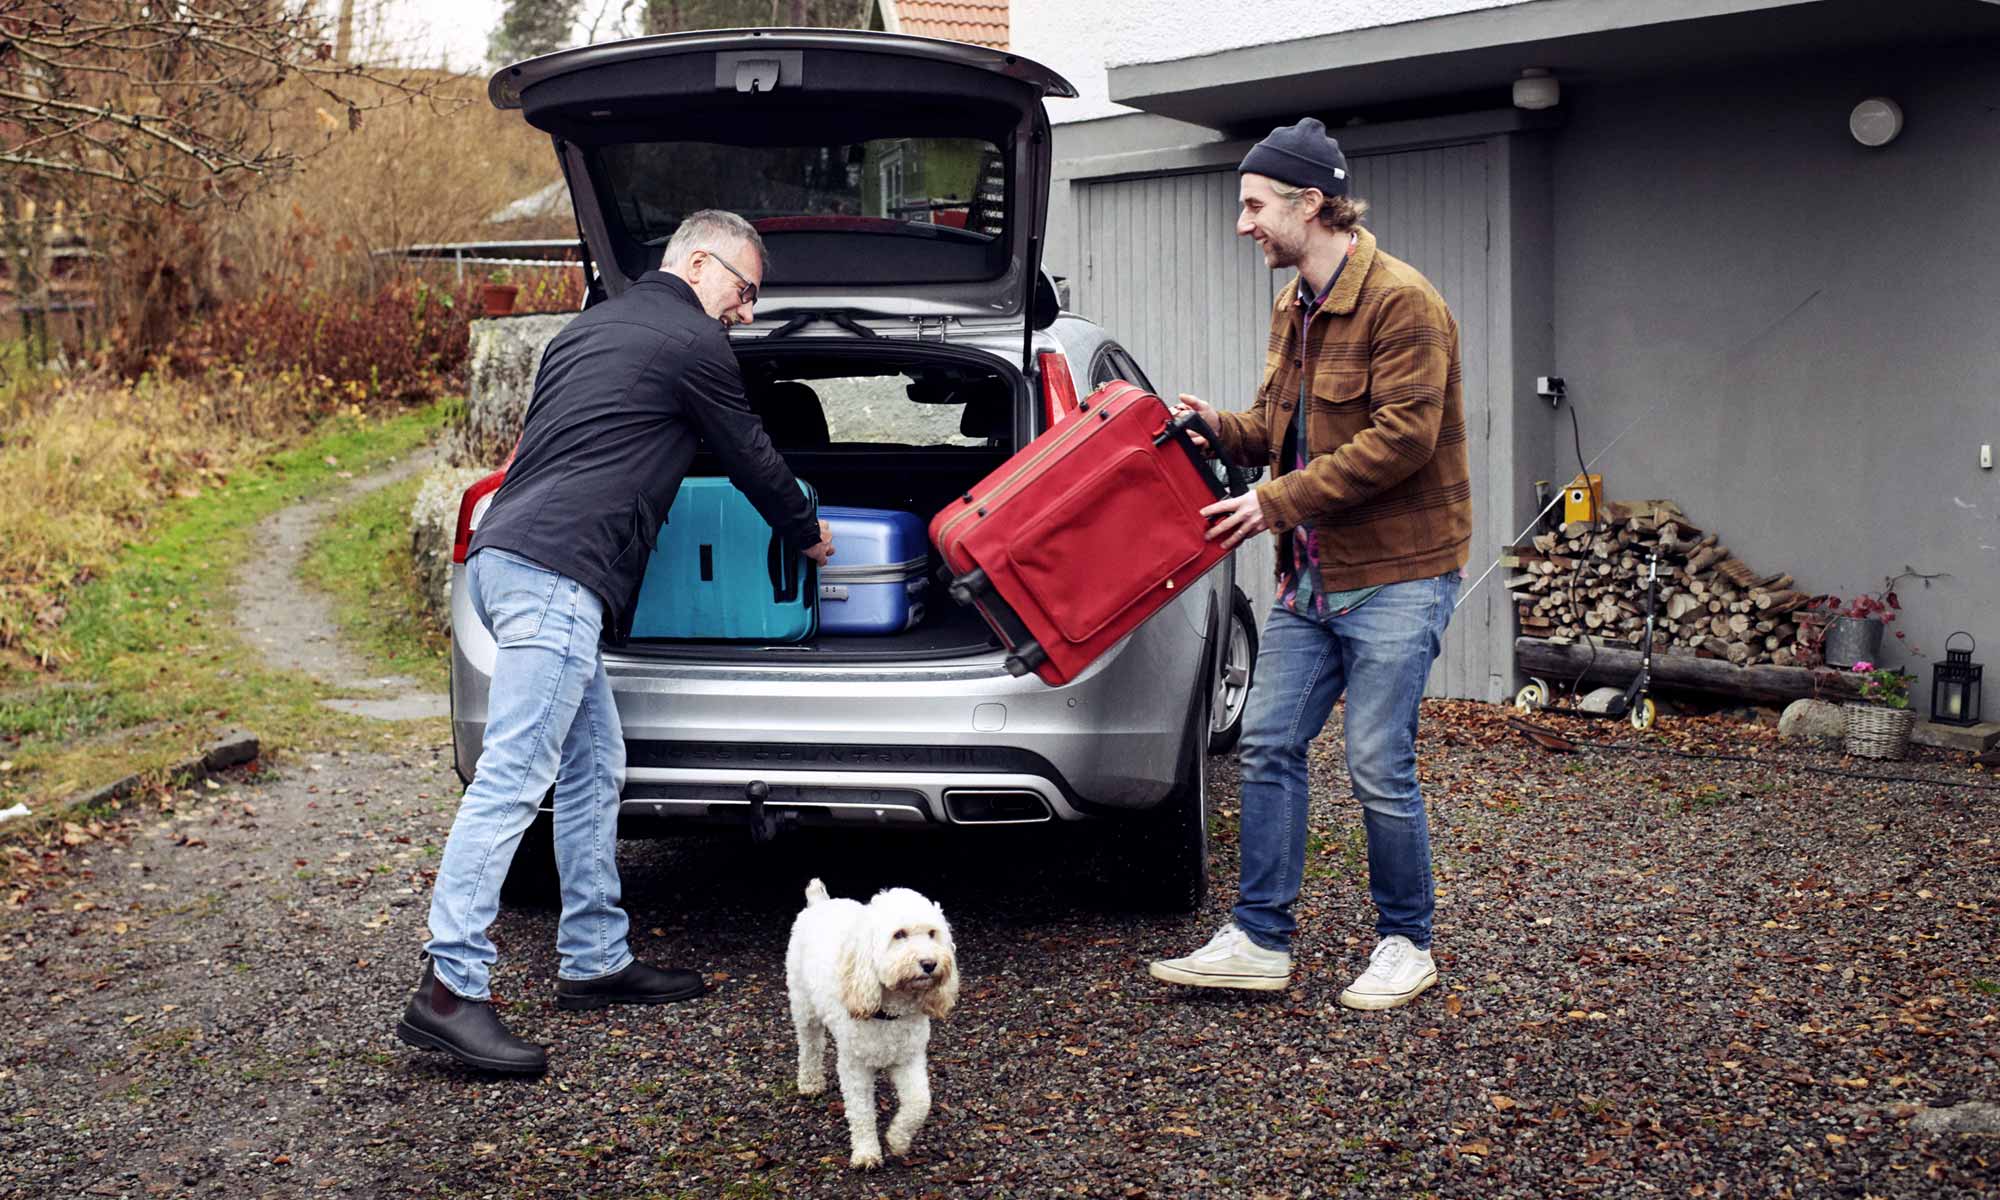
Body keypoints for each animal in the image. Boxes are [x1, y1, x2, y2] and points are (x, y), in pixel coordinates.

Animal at [784, 876, 956, 1168]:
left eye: (932, 934)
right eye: (899, 934)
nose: (929, 963)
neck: (890, 1013)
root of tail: (818, 903)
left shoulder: (909, 1058)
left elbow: (919, 1102)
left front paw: (898, 1140)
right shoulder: (854, 1067)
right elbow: (861, 1112)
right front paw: (866, 1152)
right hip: (804, 1008)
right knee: (810, 1047)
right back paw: (810, 1083)